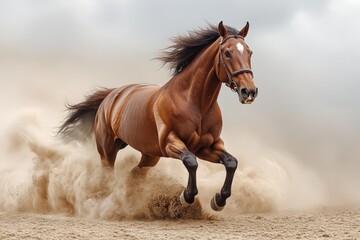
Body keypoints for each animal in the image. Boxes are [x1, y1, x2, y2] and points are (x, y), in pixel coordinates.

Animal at [58, 21, 256, 211]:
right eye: (227, 53)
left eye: (249, 52)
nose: (249, 91)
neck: (195, 103)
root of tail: (112, 95)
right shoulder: (170, 143)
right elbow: (191, 162)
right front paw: (186, 197)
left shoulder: (207, 147)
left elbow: (231, 162)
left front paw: (219, 200)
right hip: (107, 150)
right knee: (108, 175)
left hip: (150, 155)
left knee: (135, 173)